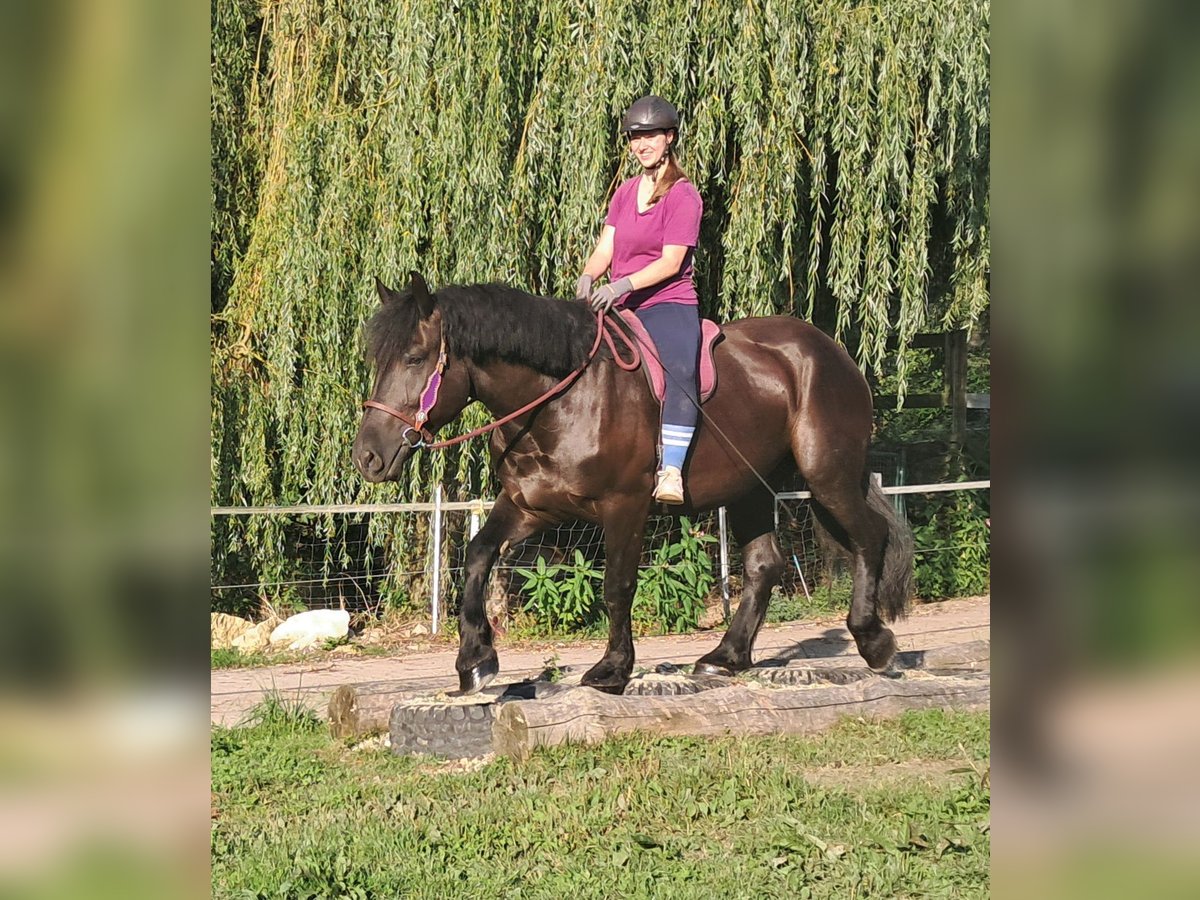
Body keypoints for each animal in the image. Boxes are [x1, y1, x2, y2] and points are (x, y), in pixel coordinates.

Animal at [353, 273, 913, 695]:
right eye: (377, 360)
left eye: (415, 358)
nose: (368, 456)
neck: (561, 399)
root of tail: (830, 351)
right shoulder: (528, 506)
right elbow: (476, 557)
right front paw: (475, 659)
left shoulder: (624, 506)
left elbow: (618, 585)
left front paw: (611, 669)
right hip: (750, 488)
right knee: (765, 565)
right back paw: (726, 656)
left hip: (828, 475)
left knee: (870, 538)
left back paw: (874, 642)